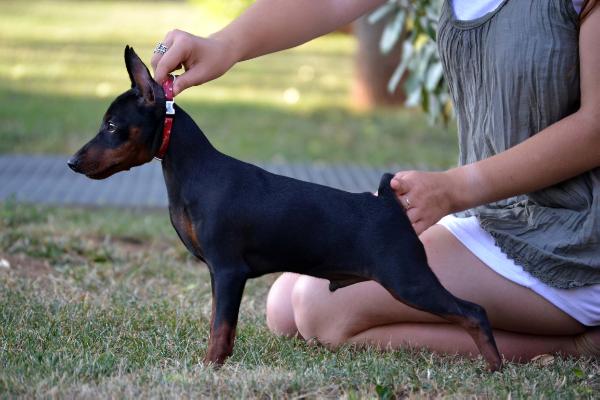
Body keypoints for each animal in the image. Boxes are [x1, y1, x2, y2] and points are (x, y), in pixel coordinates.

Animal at [67, 47, 502, 372]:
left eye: (111, 125)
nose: (72, 162)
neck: (193, 171)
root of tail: (388, 204)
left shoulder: (229, 270)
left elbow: (220, 327)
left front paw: (209, 367)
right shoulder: (218, 275)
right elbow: (219, 323)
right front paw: (217, 363)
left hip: (408, 280)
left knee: (475, 311)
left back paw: (496, 367)